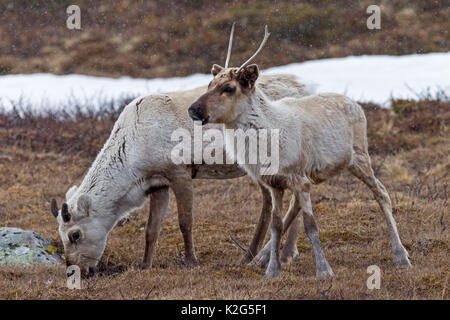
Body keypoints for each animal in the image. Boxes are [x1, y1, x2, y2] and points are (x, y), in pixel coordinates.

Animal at [48, 25, 310, 276]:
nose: (74, 270)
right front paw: (145, 266)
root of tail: (304, 89)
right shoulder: (157, 184)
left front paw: (191, 262)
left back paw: (274, 255)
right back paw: (268, 254)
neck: (134, 165)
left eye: (75, 234)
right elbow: (151, 229)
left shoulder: (180, 171)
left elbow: (185, 222)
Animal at [188, 26, 414, 278]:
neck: (263, 147)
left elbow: (311, 225)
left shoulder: (298, 178)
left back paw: (401, 256)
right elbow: (276, 225)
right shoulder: (275, 184)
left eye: (229, 88)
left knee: (382, 193)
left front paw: (324, 270)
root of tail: (356, 104)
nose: (193, 109)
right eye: (208, 85)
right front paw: (272, 270)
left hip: (359, 158)